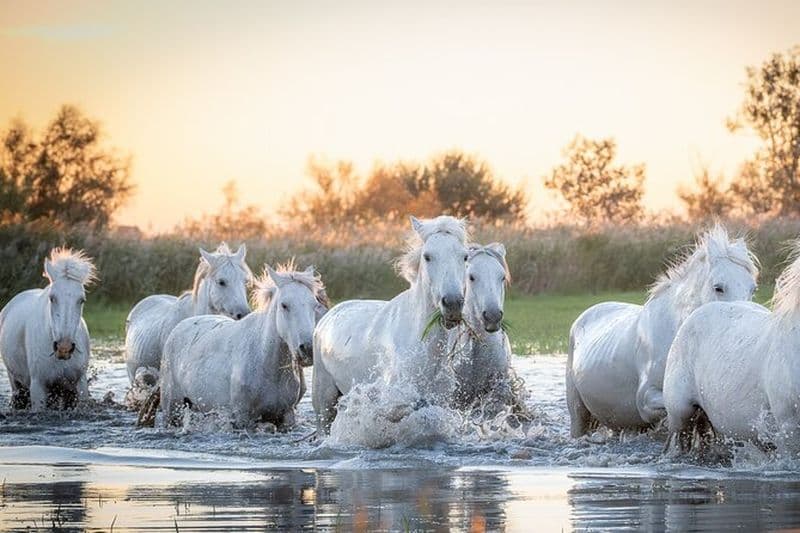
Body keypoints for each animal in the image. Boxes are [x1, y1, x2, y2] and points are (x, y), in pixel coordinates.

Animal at [0, 248, 96, 411]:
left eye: (81, 300)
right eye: (52, 298)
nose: (64, 347)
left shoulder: (79, 385)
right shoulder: (38, 387)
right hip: (16, 384)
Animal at [160, 263, 326, 429]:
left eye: (314, 305)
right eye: (284, 305)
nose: (308, 349)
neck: (265, 361)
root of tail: (178, 328)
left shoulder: (286, 416)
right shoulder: (243, 418)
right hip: (172, 410)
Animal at [313, 215, 468, 434]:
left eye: (465, 257)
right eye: (427, 256)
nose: (453, 304)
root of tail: (329, 315)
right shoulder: (391, 400)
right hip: (323, 402)